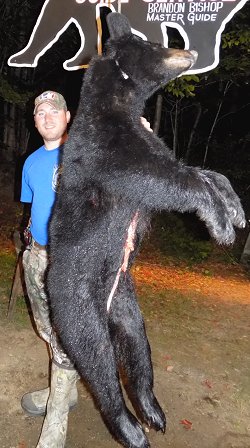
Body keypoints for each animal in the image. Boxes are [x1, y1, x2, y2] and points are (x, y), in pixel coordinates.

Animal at [47, 12, 245, 448]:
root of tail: (105, 305)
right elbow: (164, 177)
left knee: (138, 353)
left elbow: (195, 170)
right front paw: (222, 223)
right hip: (75, 308)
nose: (192, 51)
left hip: (127, 305)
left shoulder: (150, 137)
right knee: (100, 365)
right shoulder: (108, 151)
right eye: (157, 44)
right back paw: (131, 428)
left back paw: (152, 410)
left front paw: (234, 207)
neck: (120, 104)